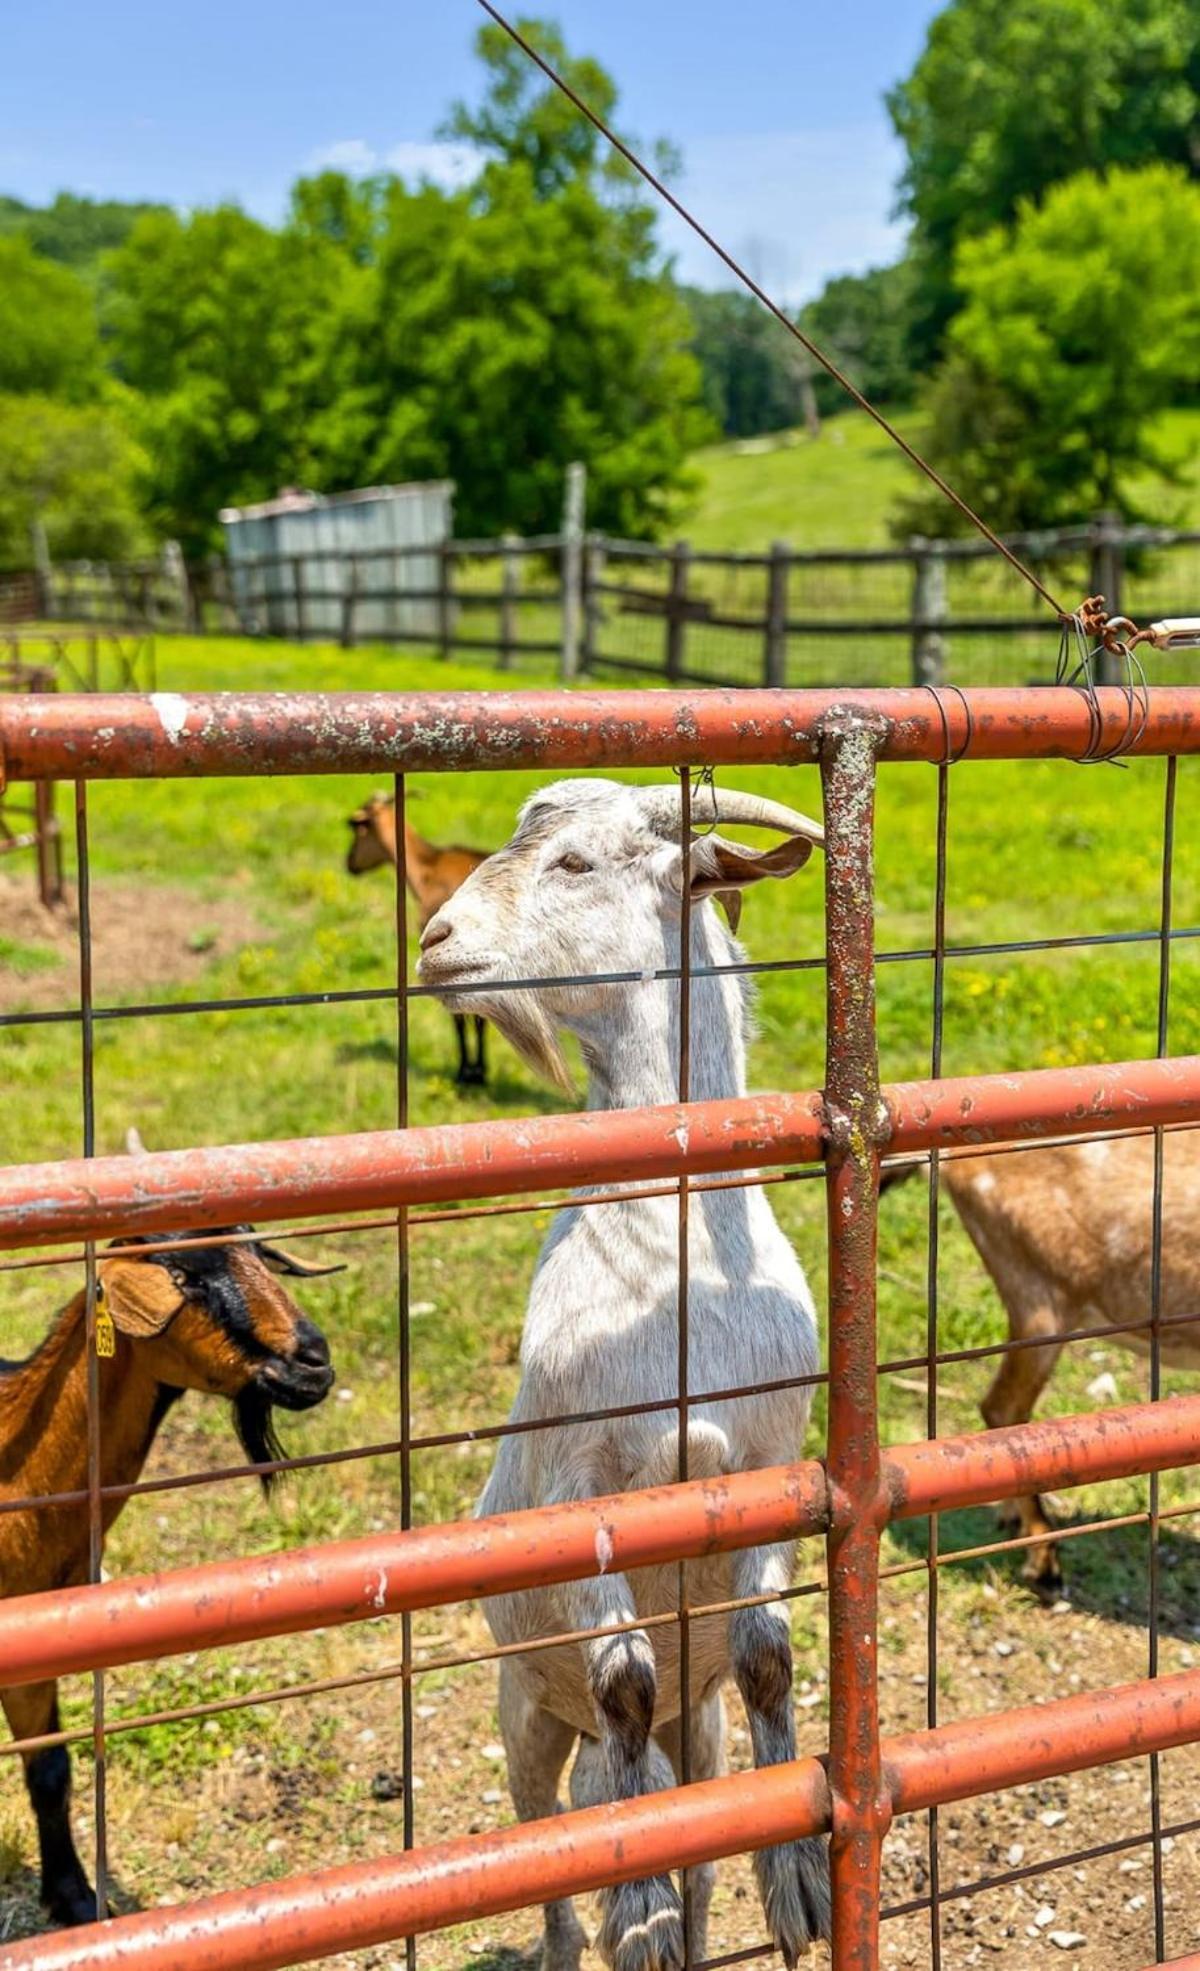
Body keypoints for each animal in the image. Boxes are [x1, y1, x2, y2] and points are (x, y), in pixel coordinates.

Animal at [344, 792, 488, 1087]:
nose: (349, 863)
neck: (427, 871)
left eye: (358, 829)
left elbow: (462, 1016)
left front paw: (467, 1073)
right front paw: (478, 1072)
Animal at [415, 776, 827, 1971]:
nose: (435, 938)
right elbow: (625, 1680)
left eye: (577, 863)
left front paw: (798, 1883)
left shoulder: (772, 1465)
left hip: (704, 1727)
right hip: (522, 1706)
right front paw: (634, 1915)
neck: (675, 1260)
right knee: (549, 1832)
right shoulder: (580, 1487)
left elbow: (769, 1653)